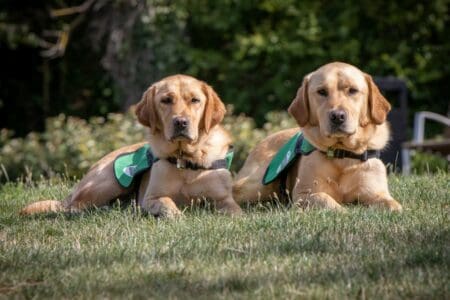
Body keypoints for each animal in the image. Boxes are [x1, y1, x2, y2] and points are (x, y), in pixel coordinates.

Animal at [20, 74, 243, 217]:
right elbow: (167, 204)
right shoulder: (151, 198)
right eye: (166, 100)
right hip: (109, 181)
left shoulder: (225, 200)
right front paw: (177, 215)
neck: (186, 158)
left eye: (195, 100)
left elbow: (237, 212)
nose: (181, 122)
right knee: (72, 207)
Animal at [234, 61, 402, 211]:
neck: (342, 154)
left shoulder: (375, 192)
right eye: (322, 92)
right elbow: (327, 200)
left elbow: (394, 205)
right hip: (258, 184)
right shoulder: (303, 194)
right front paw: (343, 211)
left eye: (353, 90)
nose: (337, 116)